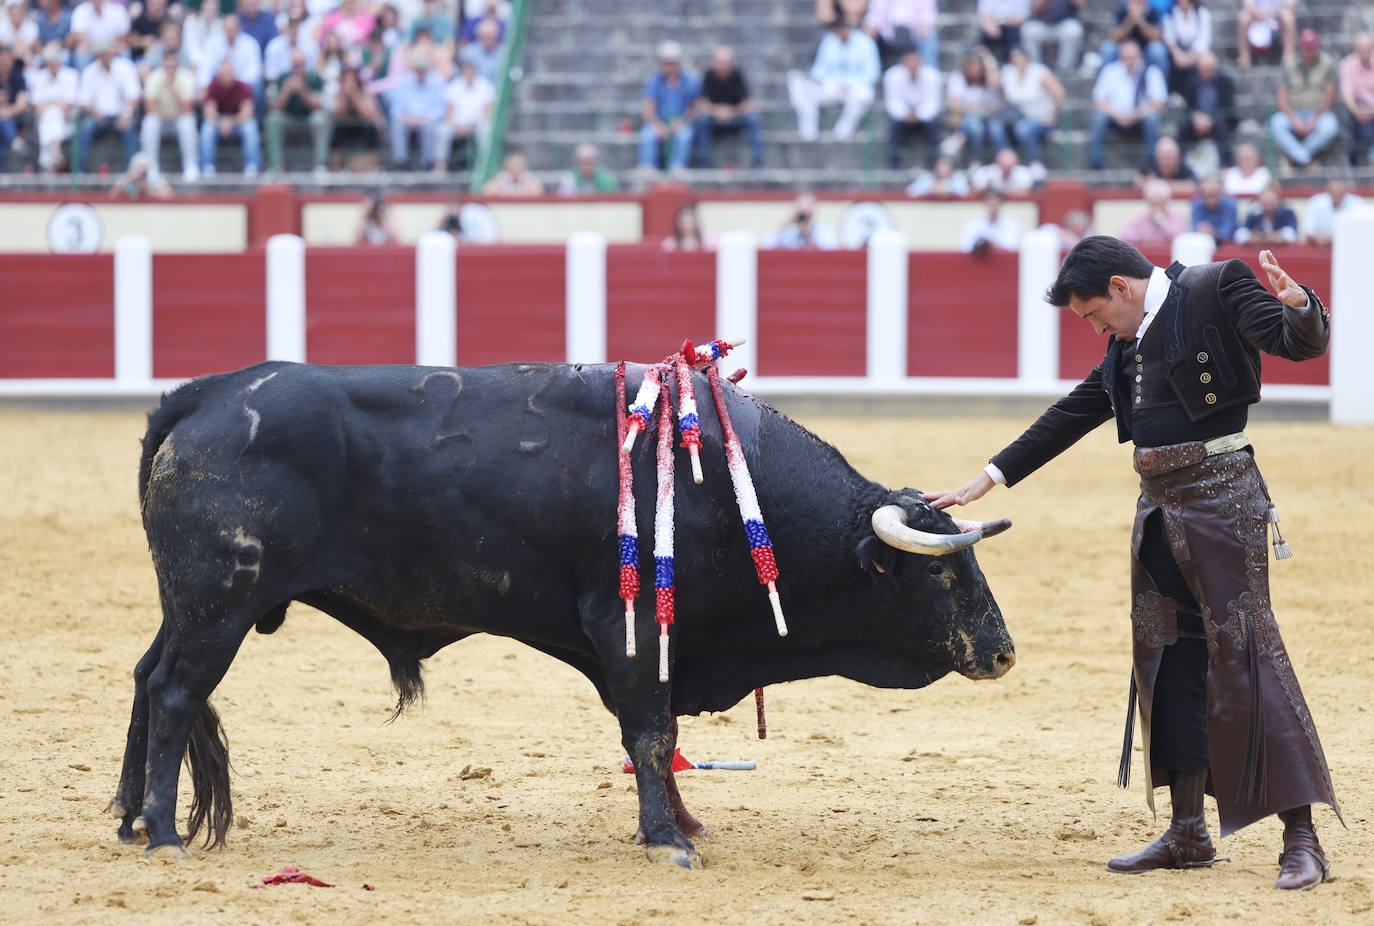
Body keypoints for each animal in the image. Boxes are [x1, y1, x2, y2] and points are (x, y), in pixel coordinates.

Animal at [112, 359, 1016, 868]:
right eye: (940, 574)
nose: (1003, 652)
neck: (729, 490)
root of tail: (207, 396)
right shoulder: (632, 631)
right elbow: (650, 732)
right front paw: (667, 842)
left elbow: (661, 737)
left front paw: (685, 822)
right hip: (220, 602)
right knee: (177, 693)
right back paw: (162, 833)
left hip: (185, 605)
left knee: (145, 679)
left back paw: (127, 817)